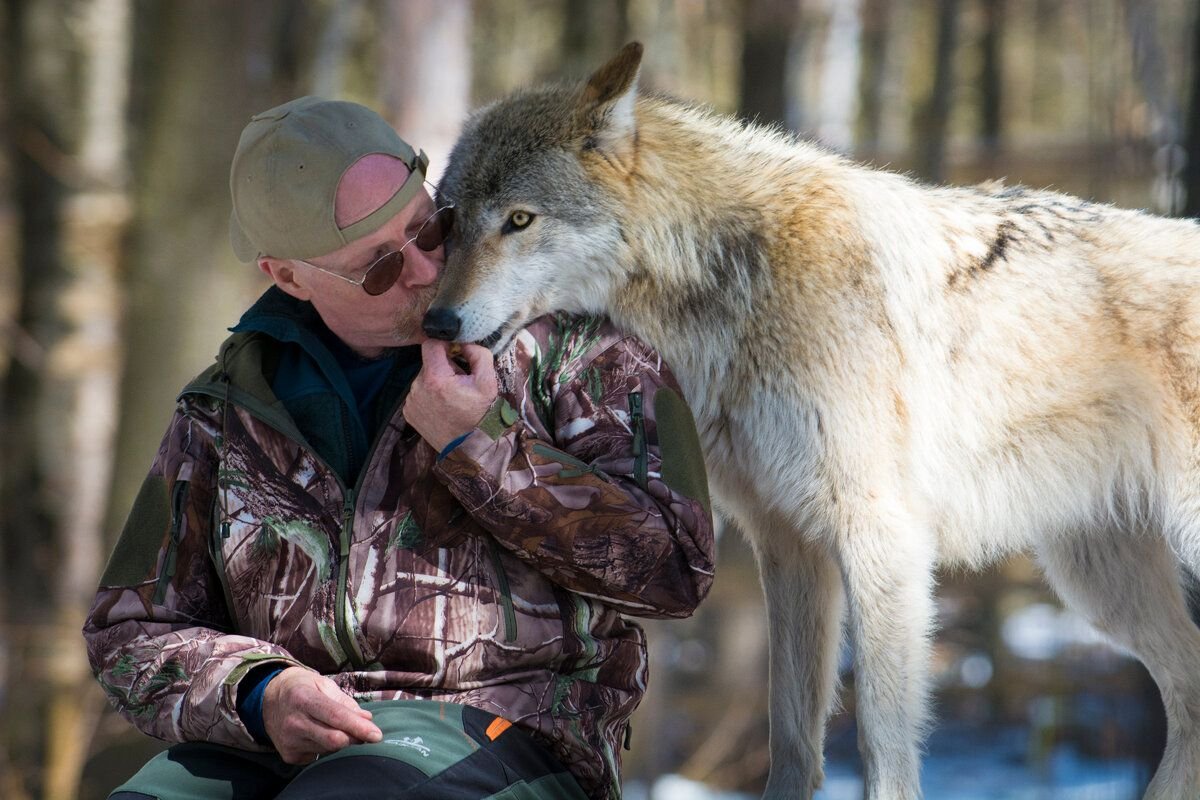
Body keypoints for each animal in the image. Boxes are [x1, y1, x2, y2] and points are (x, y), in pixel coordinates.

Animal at [420, 45, 1200, 800]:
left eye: (520, 220)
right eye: (451, 220)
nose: (437, 321)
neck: (735, 278)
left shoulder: (880, 536)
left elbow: (882, 748)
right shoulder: (787, 539)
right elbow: (793, 736)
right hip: (1097, 583)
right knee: (1189, 695)